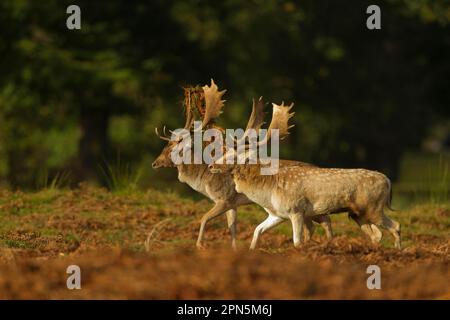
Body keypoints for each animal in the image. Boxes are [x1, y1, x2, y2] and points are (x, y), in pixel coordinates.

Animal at [153, 79, 332, 249]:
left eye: (171, 149)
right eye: (164, 146)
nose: (155, 163)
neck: (204, 180)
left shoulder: (224, 198)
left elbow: (204, 218)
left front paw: (200, 245)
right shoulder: (233, 203)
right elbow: (232, 227)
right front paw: (234, 249)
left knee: (321, 221)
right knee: (314, 225)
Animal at [207, 101, 398, 249]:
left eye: (232, 156)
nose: (211, 165)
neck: (267, 192)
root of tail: (388, 181)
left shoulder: (296, 210)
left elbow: (296, 242)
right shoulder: (277, 214)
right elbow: (257, 230)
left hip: (374, 208)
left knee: (395, 226)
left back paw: (398, 252)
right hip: (358, 214)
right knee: (377, 234)